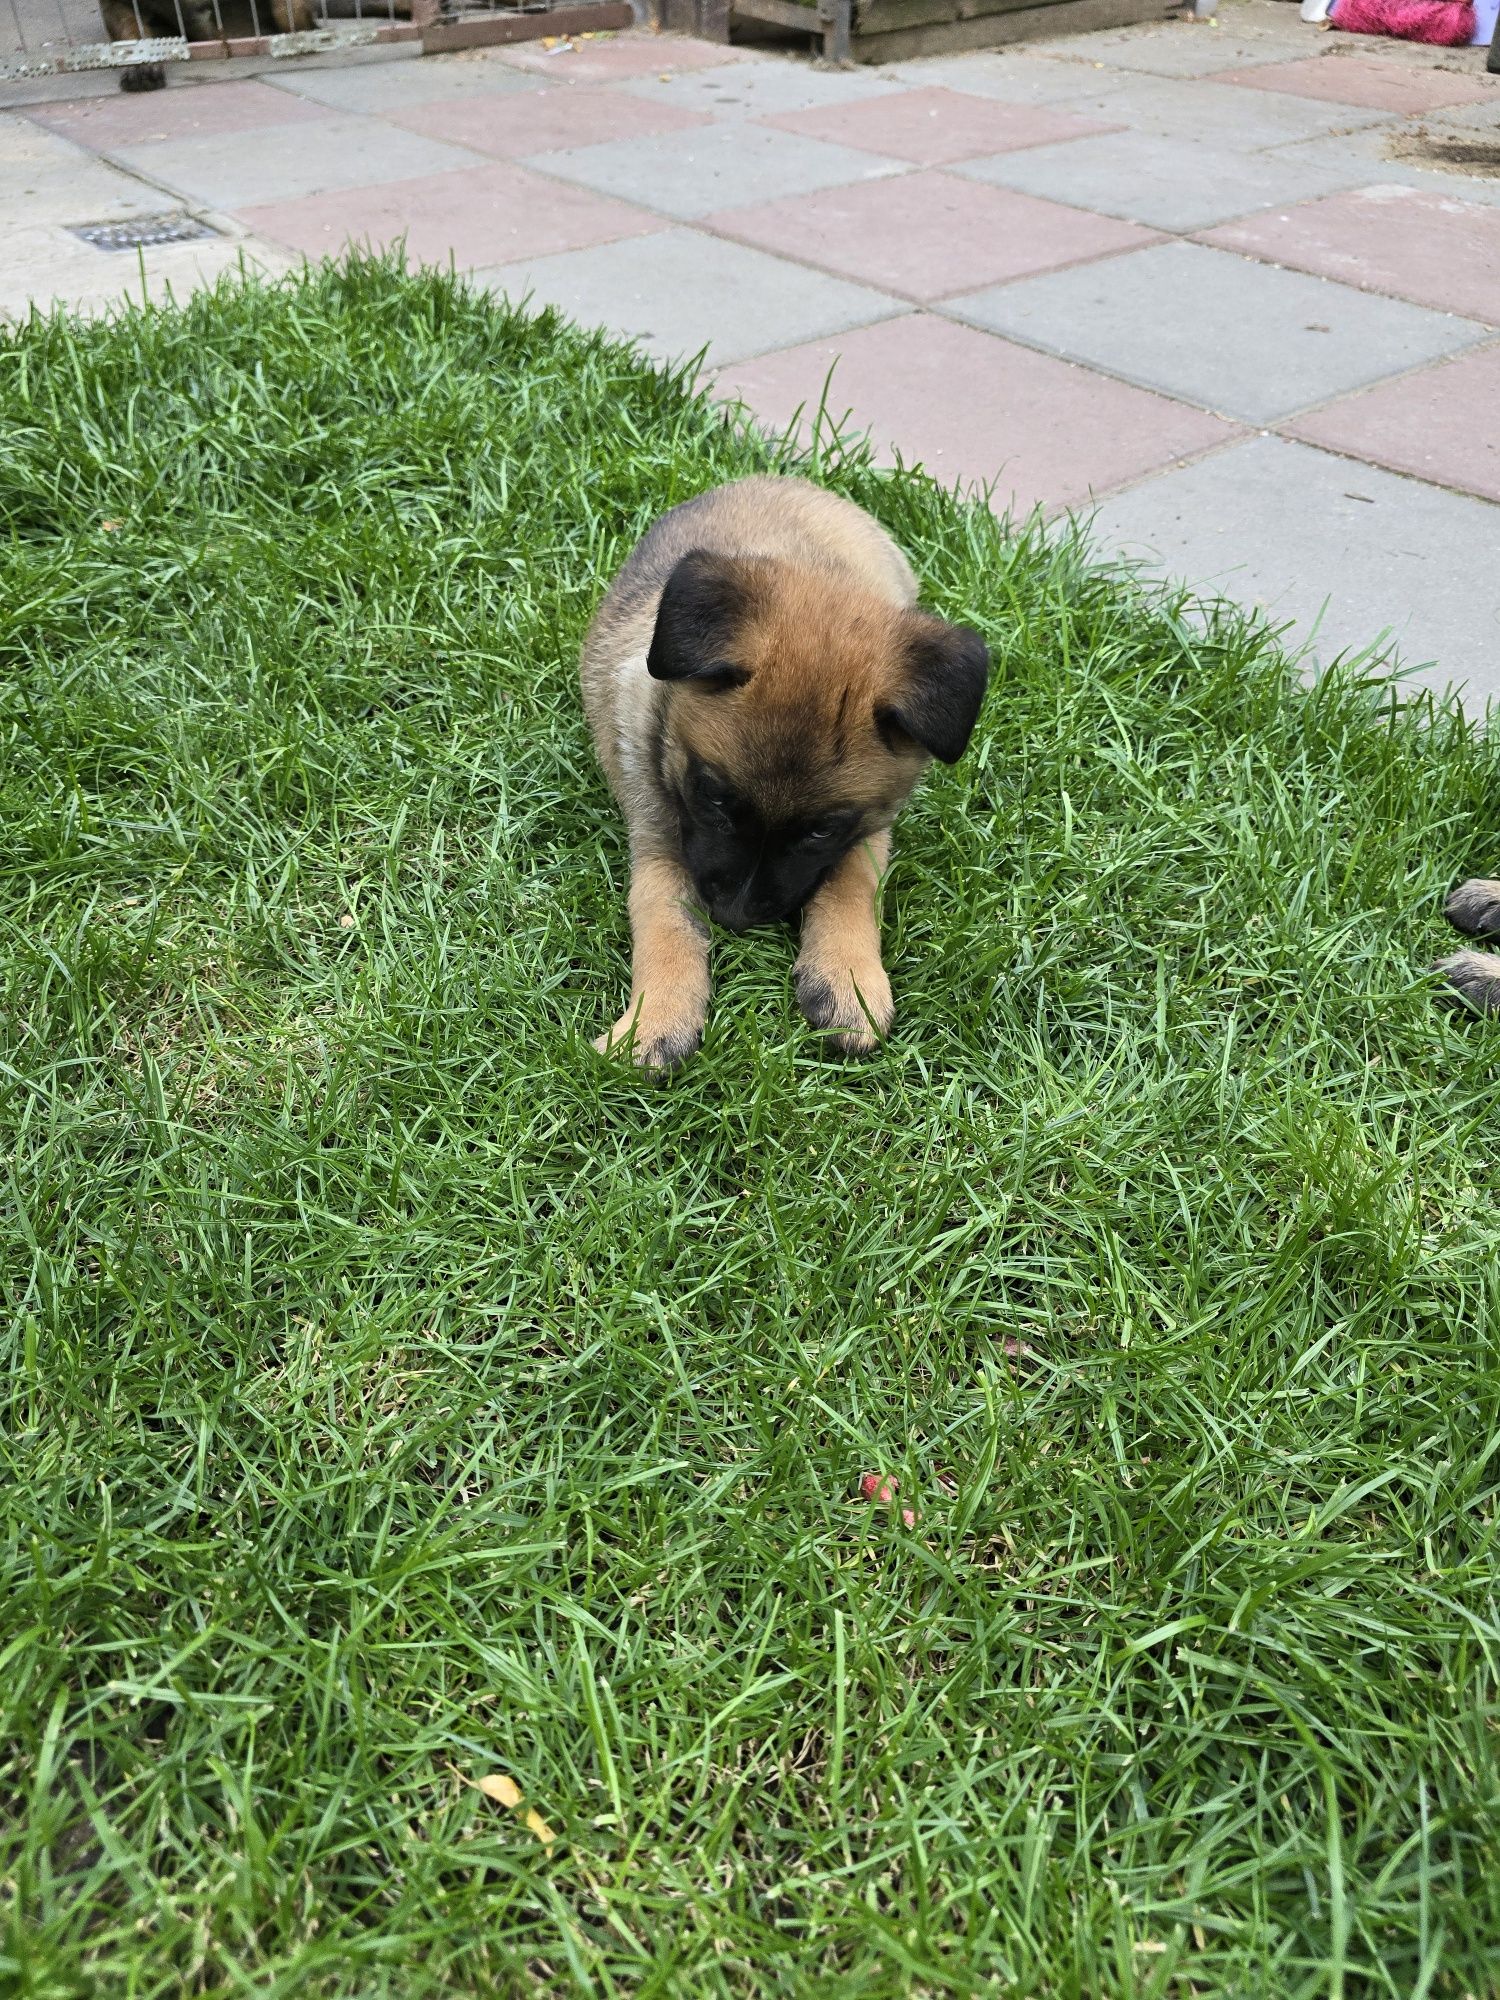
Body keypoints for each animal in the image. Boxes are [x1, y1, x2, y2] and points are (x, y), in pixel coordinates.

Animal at [580, 476, 992, 1072]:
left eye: (821, 830)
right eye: (713, 798)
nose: (734, 919)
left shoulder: (869, 827)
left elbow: (851, 882)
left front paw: (848, 977)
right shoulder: (658, 831)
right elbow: (664, 918)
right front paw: (654, 1020)